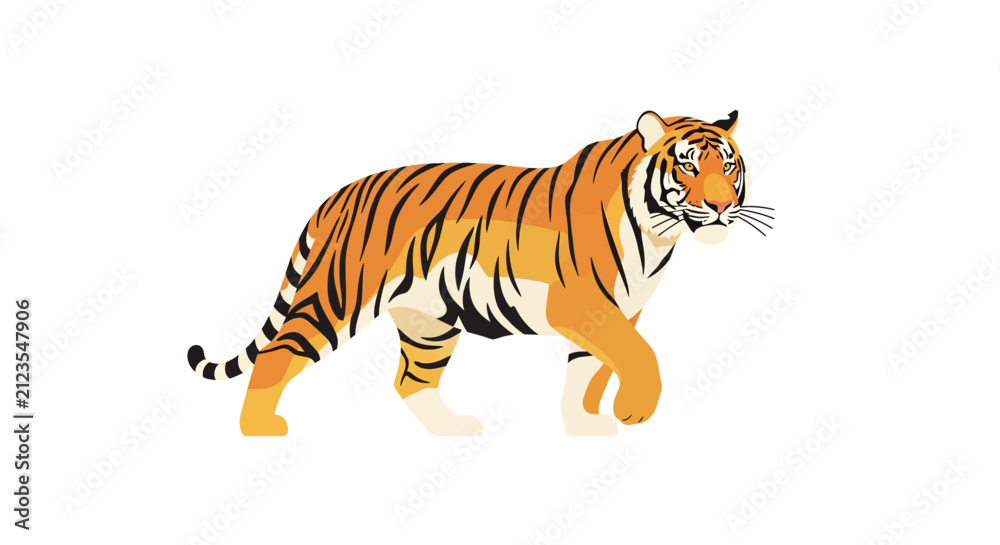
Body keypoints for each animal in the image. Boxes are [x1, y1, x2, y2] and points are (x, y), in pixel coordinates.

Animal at [187, 110, 773, 436]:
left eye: (729, 166)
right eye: (689, 166)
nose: (721, 206)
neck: (658, 235)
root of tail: (338, 195)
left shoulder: (617, 312)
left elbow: (591, 371)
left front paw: (585, 425)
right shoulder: (583, 305)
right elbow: (638, 355)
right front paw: (633, 410)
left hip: (428, 321)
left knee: (410, 381)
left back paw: (451, 431)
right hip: (338, 297)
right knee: (279, 353)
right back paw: (258, 429)